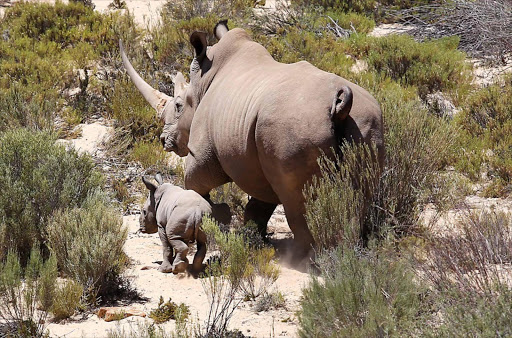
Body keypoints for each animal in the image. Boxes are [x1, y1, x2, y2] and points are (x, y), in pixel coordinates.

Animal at [121, 21, 384, 262]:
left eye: (177, 106)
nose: (164, 139)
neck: (203, 83)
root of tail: (341, 100)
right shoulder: (254, 157)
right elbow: (259, 204)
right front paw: (251, 238)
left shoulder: (202, 154)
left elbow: (195, 185)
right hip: (365, 120)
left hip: (293, 127)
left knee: (295, 199)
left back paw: (303, 258)